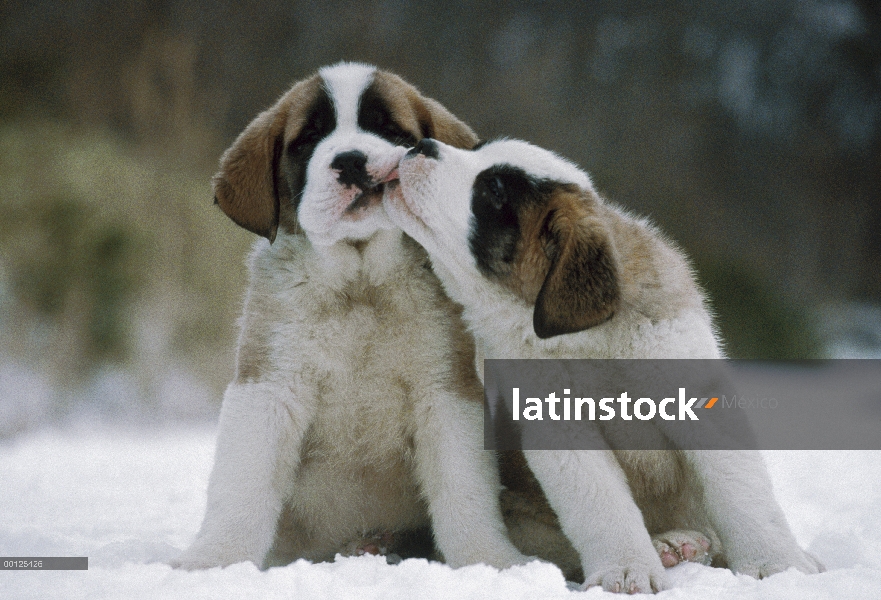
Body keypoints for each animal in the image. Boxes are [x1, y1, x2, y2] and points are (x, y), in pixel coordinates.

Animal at [173, 64, 528, 572]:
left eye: (390, 129)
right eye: (309, 139)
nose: (353, 162)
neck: (360, 287)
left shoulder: (445, 392)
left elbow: (464, 488)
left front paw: (488, 559)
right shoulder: (269, 386)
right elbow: (243, 483)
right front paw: (216, 559)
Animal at [382, 138, 820, 592]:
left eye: (494, 190)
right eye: (477, 148)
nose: (421, 144)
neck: (584, 339)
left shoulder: (695, 392)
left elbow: (742, 491)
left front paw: (775, 566)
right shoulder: (557, 426)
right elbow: (599, 503)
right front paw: (625, 571)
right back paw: (669, 545)